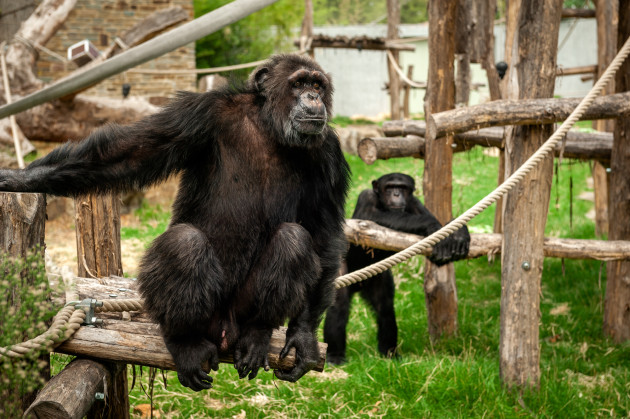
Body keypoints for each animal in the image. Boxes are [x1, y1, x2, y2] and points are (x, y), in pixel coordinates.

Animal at [0, 54, 350, 392]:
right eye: (299, 83)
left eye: (317, 85)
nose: (313, 97)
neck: (268, 128)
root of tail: (224, 332)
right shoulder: (201, 114)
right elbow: (126, 156)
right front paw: (20, 179)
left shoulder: (328, 152)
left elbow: (324, 234)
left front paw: (303, 336)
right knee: (185, 244)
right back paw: (184, 343)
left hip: (237, 313)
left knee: (293, 239)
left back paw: (256, 334)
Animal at [326, 173, 470, 364]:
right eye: (389, 187)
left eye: (402, 188)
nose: (396, 194)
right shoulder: (366, 198)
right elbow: (369, 218)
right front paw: (433, 225)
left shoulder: (416, 204)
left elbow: (438, 258)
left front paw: (459, 233)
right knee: (338, 306)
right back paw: (334, 356)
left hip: (378, 278)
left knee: (385, 308)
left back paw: (389, 353)